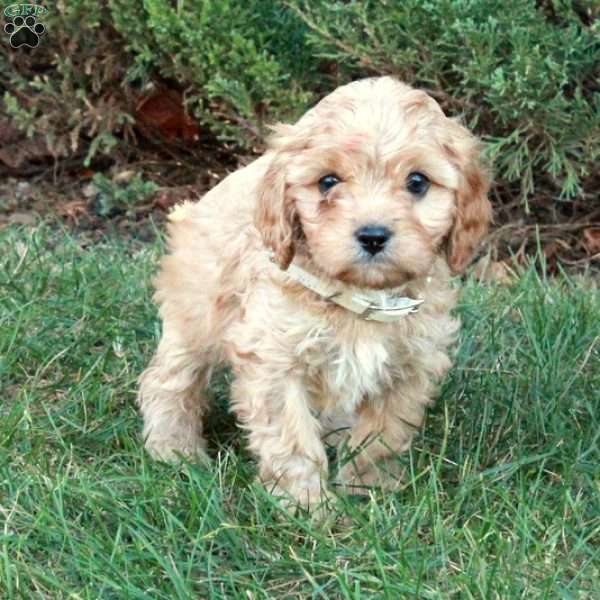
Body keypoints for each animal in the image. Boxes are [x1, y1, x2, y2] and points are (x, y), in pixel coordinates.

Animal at [137, 74, 492, 506]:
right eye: (328, 182)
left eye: (418, 182)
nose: (373, 235)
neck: (362, 297)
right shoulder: (274, 361)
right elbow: (292, 440)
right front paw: (307, 507)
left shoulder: (411, 365)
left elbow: (383, 435)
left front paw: (368, 492)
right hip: (197, 314)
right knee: (170, 379)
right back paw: (176, 450)